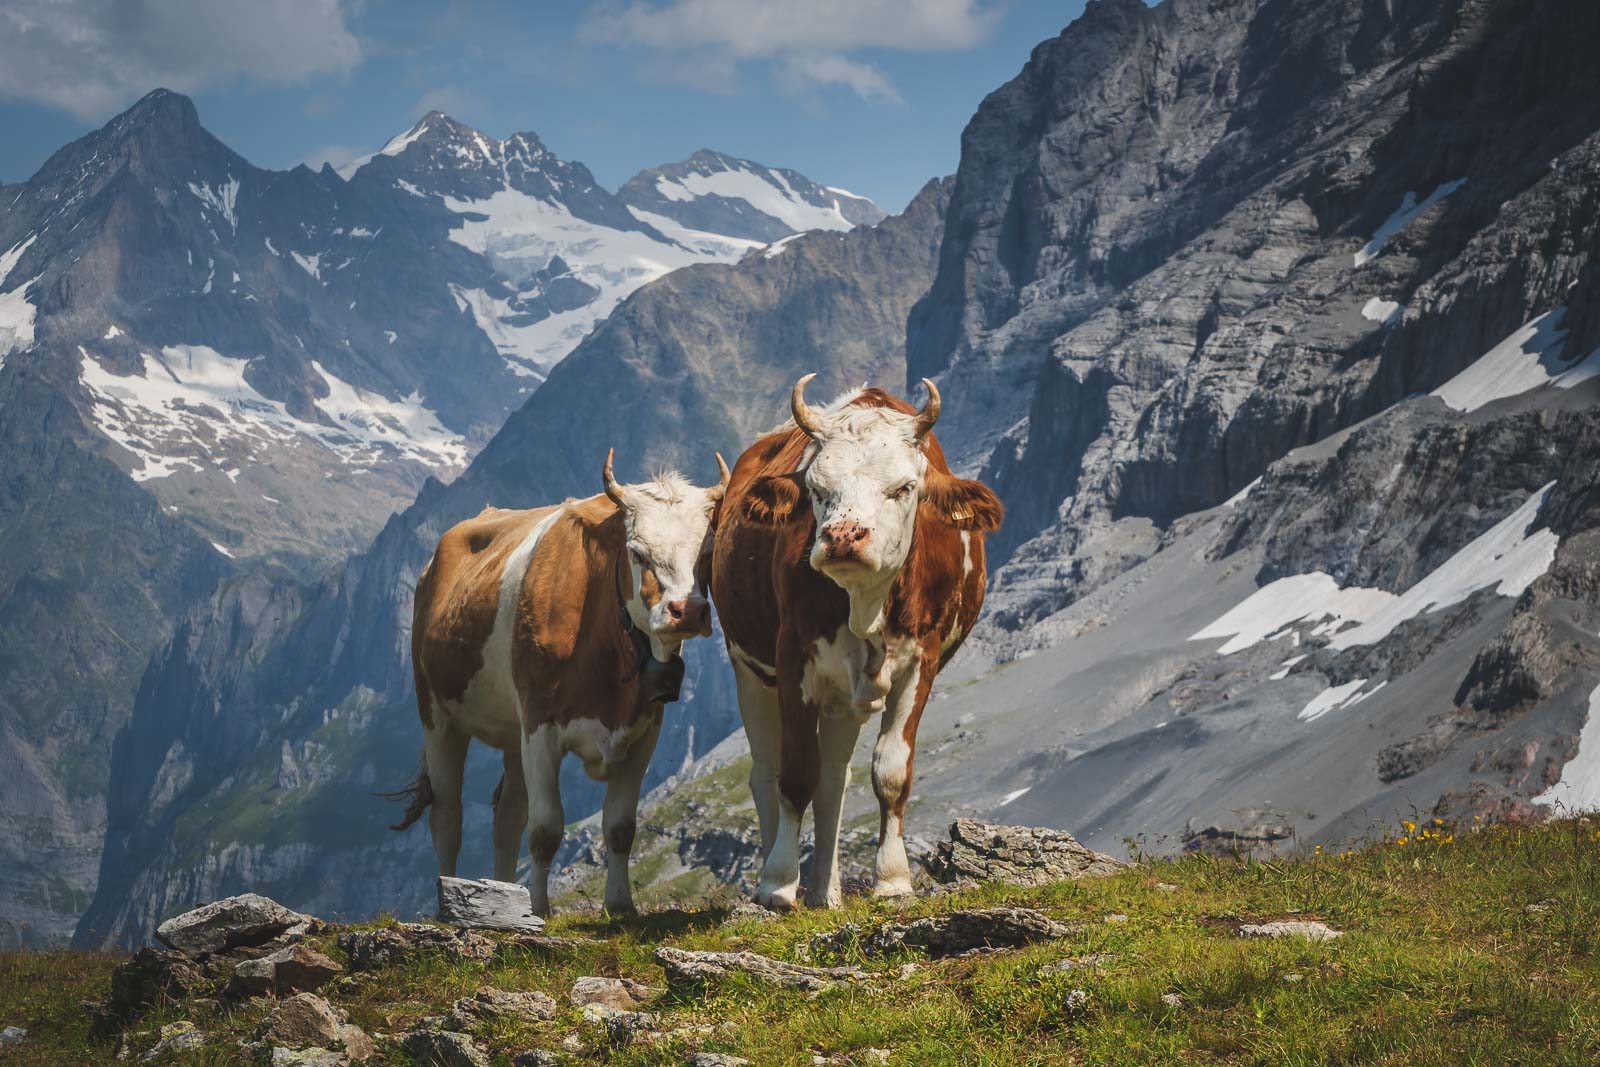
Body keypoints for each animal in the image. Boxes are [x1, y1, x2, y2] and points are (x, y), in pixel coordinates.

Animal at [400, 454, 726, 921]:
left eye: (707, 550)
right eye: (637, 552)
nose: (688, 610)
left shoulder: (645, 730)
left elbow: (620, 827)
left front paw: (620, 905)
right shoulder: (541, 726)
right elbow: (546, 830)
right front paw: (537, 908)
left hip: (511, 730)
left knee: (507, 815)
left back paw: (503, 891)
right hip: (437, 714)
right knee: (448, 817)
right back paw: (451, 894)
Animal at [713, 375, 998, 908]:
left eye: (905, 488)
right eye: (816, 487)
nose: (844, 535)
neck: (867, 606)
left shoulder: (921, 663)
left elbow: (890, 773)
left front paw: (893, 879)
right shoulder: (793, 658)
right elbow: (795, 772)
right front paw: (779, 882)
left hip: (842, 700)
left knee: (834, 779)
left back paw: (827, 892)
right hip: (749, 670)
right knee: (766, 773)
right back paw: (777, 876)